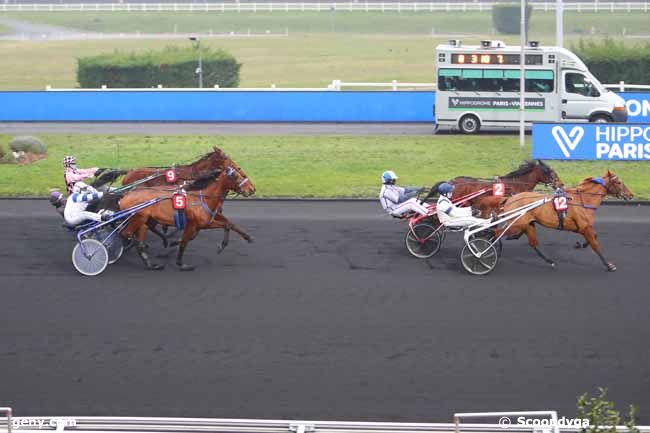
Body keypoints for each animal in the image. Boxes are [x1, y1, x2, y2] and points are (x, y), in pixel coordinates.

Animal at [119, 162, 256, 270]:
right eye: (236, 176)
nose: (251, 189)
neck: (202, 198)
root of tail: (125, 196)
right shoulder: (197, 224)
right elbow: (185, 242)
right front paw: (181, 263)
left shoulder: (205, 221)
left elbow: (228, 224)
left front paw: (247, 237)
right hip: (138, 217)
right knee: (126, 234)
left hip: (145, 220)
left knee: (138, 239)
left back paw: (151, 264)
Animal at [494, 170, 632, 272]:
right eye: (619, 182)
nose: (631, 195)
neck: (582, 200)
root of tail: (509, 199)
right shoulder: (584, 227)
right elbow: (596, 245)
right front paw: (608, 265)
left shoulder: (582, 228)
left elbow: (594, 237)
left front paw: (580, 244)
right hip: (516, 224)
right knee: (497, 233)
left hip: (528, 224)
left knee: (533, 243)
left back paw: (550, 261)